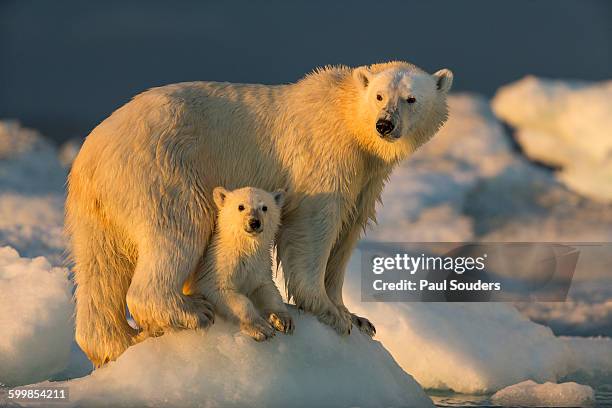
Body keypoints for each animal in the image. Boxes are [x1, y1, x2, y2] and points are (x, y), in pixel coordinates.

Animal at [190, 186, 292, 342]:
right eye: (241, 206)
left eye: (264, 207)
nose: (254, 222)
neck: (244, 248)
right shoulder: (216, 265)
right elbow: (227, 293)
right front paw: (261, 328)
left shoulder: (259, 265)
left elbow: (266, 288)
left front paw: (282, 320)